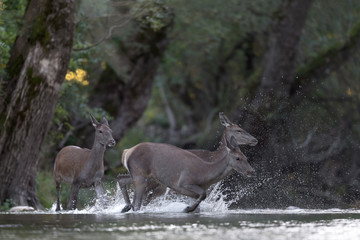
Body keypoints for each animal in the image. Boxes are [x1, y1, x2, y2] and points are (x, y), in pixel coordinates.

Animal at [119, 112, 258, 212]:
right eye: (239, 130)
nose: (255, 140)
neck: (213, 158)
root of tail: (126, 152)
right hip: (152, 182)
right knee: (141, 199)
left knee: (124, 181)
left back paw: (125, 207)